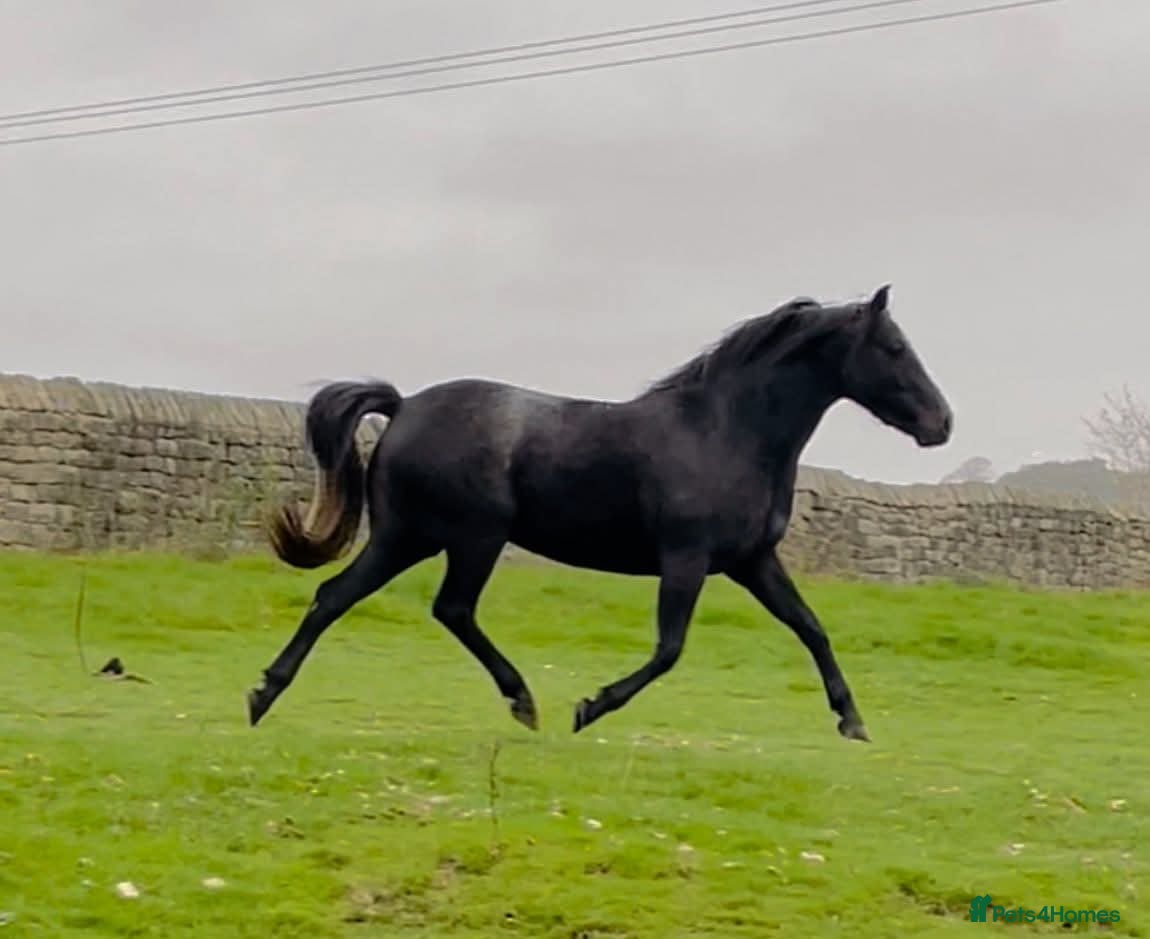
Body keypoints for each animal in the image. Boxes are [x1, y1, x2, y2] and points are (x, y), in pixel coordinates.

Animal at [246, 284, 952, 742]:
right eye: (893, 346)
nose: (941, 423)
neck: (725, 432)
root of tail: (404, 405)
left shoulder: (752, 561)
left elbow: (811, 628)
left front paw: (852, 721)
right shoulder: (686, 558)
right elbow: (669, 649)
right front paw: (590, 707)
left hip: (408, 537)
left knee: (336, 595)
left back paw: (263, 695)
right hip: (469, 537)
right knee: (447, 608)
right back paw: (524, 702)